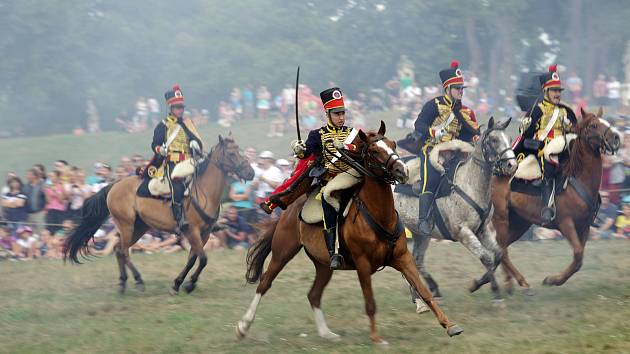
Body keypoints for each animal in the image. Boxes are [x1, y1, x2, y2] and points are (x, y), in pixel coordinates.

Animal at [61, 134, 254, 294]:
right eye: (231, 153)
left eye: (239, 150)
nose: (251, 173)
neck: (203, 192)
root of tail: (113, 186)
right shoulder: (192, 231)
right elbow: (203, 259)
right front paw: (188, 284)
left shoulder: (204, 234)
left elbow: (193, 259)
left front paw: (179, 283)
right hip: (126, 225)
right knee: (123, 251)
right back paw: (138, 280)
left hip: (139, 227)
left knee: (118, 250)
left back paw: (123, 283)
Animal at [237, 122, 464, 346]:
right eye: (374, 151)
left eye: (393, 144)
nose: (403, 170)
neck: (379, 215)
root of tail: (291, 209)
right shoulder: (363, 264)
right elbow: (370, 302)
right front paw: (376, 338)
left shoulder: (402, 258)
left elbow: (424, 291)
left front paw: (450, 325)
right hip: (283, 252)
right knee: (265, 283)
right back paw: (243, 326)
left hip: (323, 265)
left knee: (314, 295)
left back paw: (327, 334)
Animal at [494, 108, 624, 294]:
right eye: (593, 125)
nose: (616, 138)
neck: (578, 180)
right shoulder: (566, 224)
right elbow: (578, 254)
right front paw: (552, 280)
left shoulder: (584, 227)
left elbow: (578, 259)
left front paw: (553, 280)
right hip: (501, 218)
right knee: (500, 250)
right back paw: (519, 283)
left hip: (520, 223)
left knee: (500, 249)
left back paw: (504, 283)